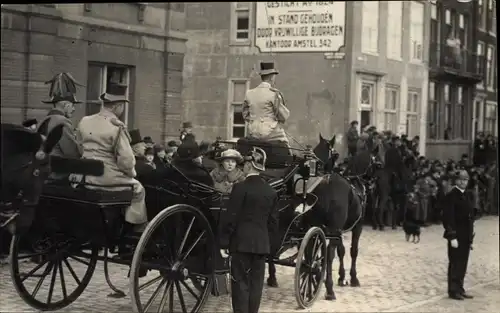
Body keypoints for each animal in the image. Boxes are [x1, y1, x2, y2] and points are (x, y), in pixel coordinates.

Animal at [266, 134, 378, 300]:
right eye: (377, 163)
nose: (372, 183)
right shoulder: (356, 226)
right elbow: (352, 251)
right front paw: (352, 278)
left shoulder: (334, 230)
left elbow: (341, 250)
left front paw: (341, 277)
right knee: (328, 254)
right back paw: (328, 288)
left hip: (316, 226)